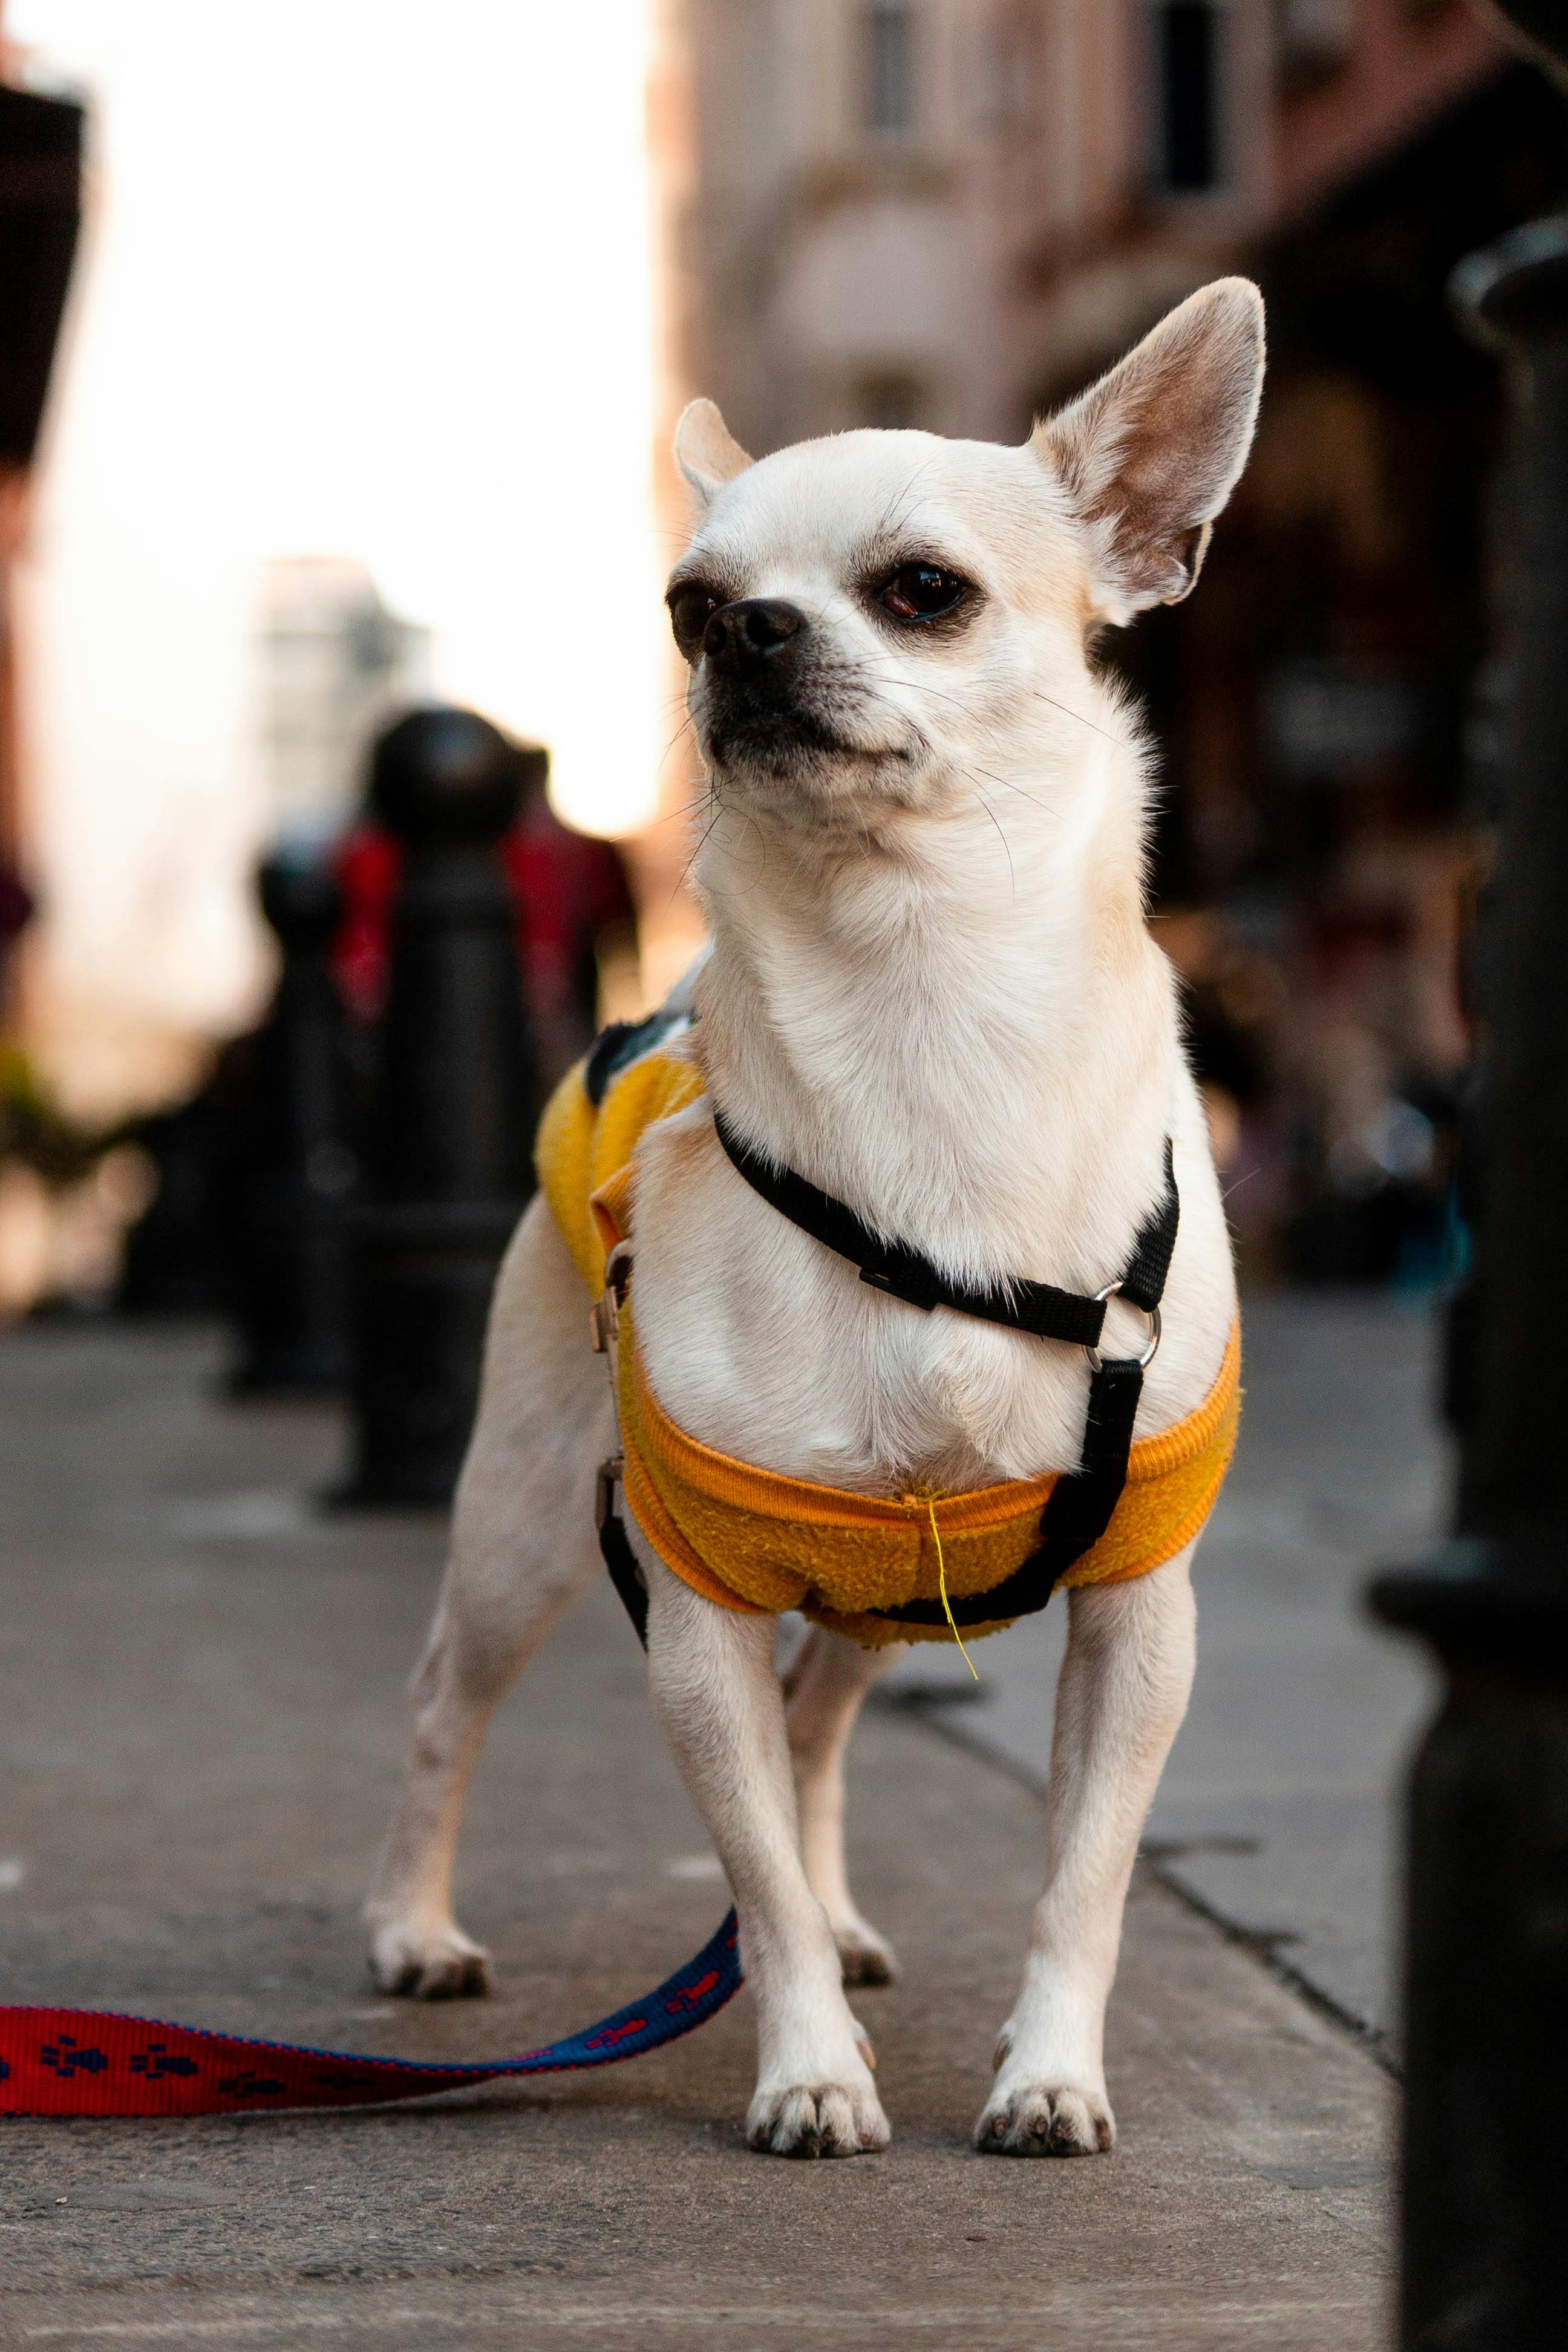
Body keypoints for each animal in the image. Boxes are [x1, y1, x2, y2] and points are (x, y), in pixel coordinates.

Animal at [364, 275, 1259, 2154]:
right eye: (689, 607)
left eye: (924, 589)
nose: (745, 637)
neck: (919, 1010)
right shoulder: (688, 1596)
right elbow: (750, 1865)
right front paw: (809, 2073)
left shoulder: (1140, 1616)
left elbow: (1082, 1877)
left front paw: (1048, 2074)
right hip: (525, 1527)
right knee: (443, 1708)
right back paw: (411, 1927)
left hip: (889, 1591)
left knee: (821, 1725)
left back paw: (852, 1921)